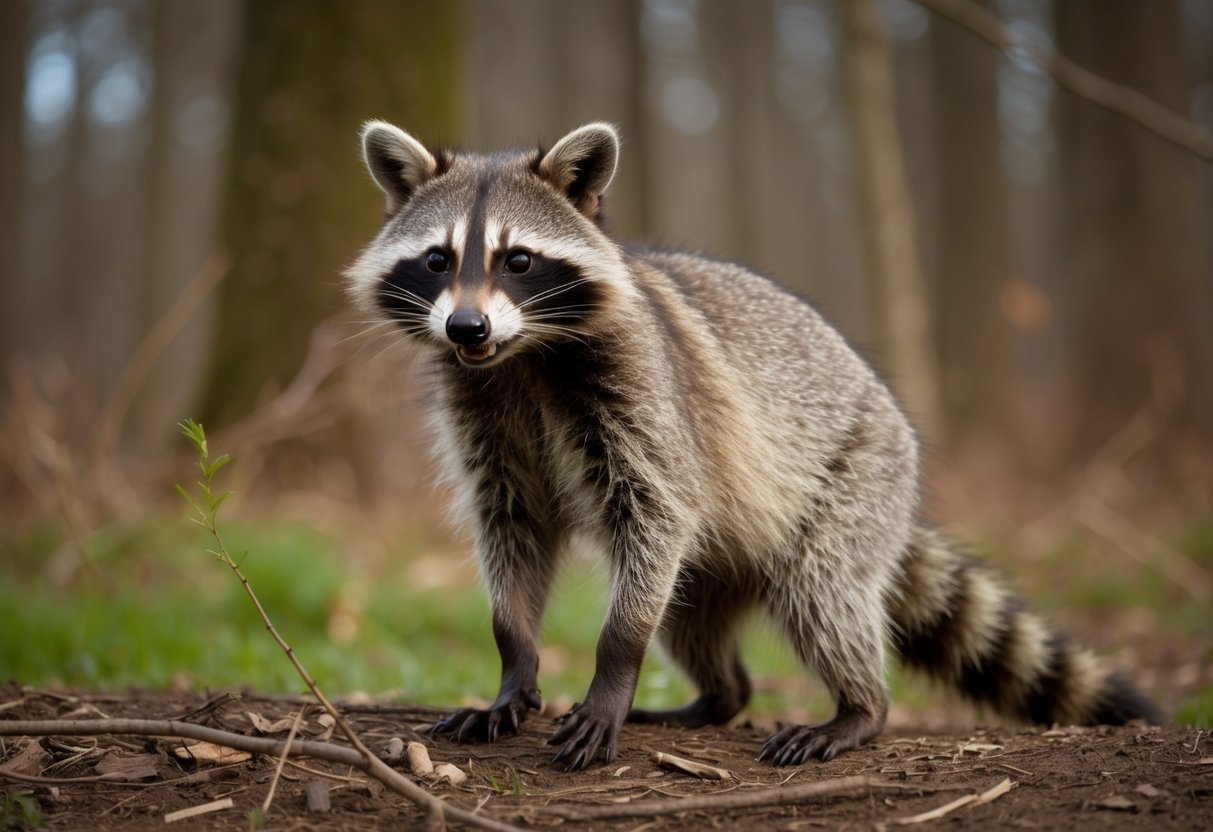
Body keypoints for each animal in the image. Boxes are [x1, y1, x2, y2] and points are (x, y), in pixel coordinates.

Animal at [346, 121, 1158, 771]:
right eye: (437, 260)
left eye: (517, 260)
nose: (466, 328)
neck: (521, 355)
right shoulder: (486, 421)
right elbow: (511, 531)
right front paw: (513, 665)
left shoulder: (647, 400)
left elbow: (655, 519)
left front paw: (613, 669)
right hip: (720, 558)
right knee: (689, 616)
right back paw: (718, 696)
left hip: (857, 477)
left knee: (821, 595)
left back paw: (860, 708)